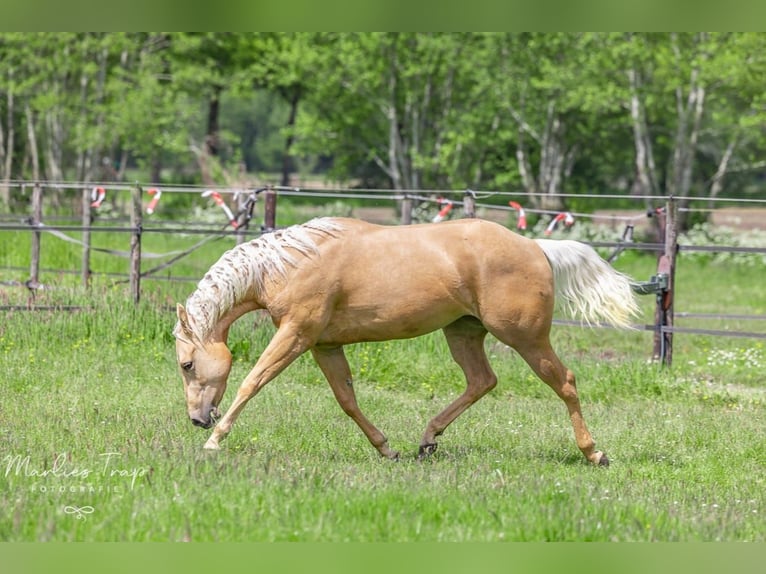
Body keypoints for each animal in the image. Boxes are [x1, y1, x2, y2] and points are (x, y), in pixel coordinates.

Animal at [176, 218, 640, 466]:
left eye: (186, 364)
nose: (198, 419)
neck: (292, 263)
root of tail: (535, 246)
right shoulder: (324, 345)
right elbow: (347, 400)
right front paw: (386, 449)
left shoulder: (296, 334)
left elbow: (252, 382)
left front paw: (214, 442)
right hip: (463, 332)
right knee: (482, 381)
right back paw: (427, 440)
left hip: (525, 337)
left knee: (565, 382)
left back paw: (594, 453)